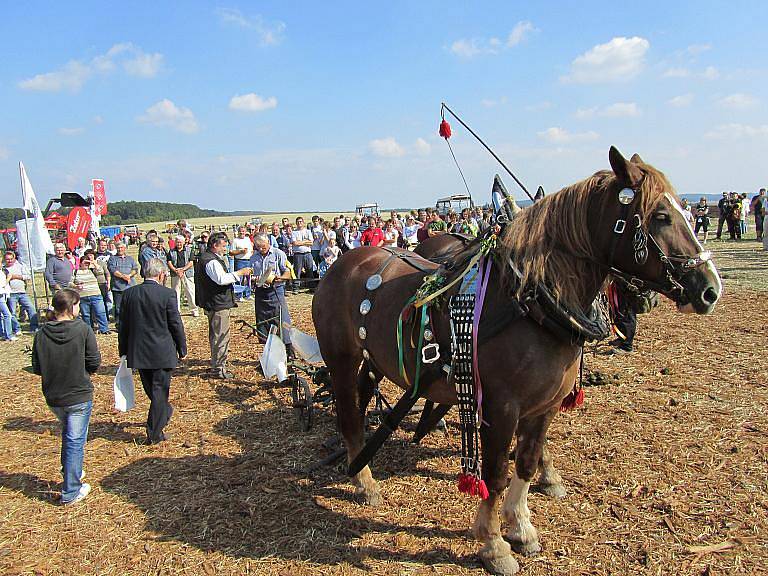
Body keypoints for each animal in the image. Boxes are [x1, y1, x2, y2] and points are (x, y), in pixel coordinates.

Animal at [310, 146, 720, 572]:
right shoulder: (501, 406)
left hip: (373, 360)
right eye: (660, 216)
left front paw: (521, 525)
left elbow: (526, 461)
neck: (533, 303)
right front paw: (494, 544)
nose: (710, 289)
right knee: (349, 415)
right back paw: (365, 480)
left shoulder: (545, 406)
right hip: (341, 360)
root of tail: (343, 263)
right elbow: (494, 474)